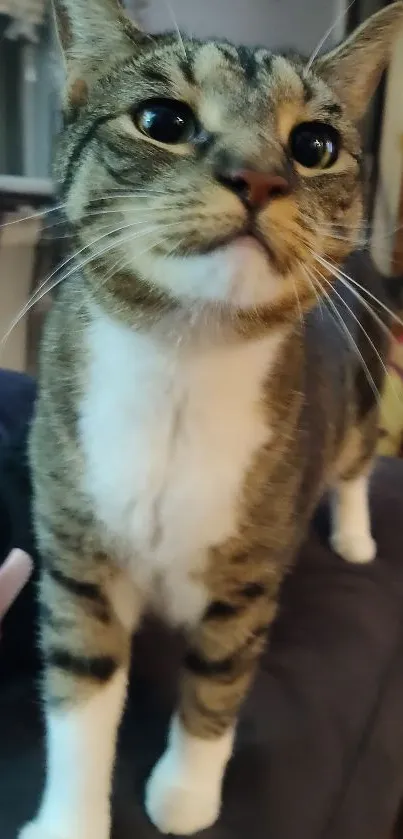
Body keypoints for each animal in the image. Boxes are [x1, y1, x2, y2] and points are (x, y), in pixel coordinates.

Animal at [20, 1, 402, 839]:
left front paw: (185, 791)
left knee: (355, 463)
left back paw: (355, 536)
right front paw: (70, 819)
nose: (259, 175)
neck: (183, 359)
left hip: (359, 392)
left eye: (313, 146)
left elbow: (219, 682)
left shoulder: (248, 576)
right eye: (161, 120)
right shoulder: (78, 553)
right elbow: (79, 694)